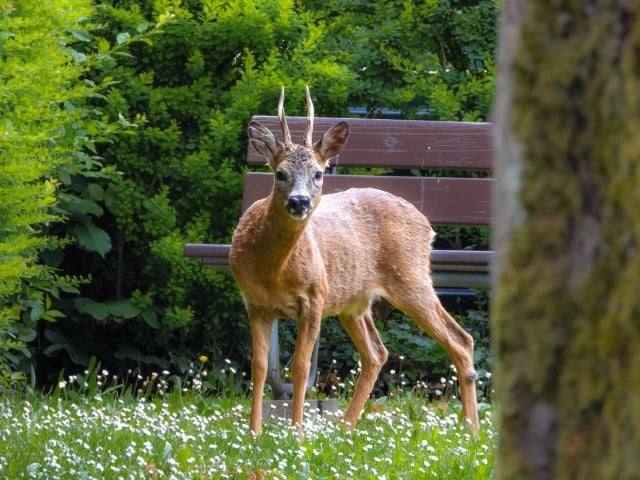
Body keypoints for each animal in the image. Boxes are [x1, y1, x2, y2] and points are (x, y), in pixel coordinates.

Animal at [228, 85, 478, 436]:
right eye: (280, 173)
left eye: (318, 173)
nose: (299, 201)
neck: (273, 272)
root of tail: (426, 224)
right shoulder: (254, 303)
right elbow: (259, 367)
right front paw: (254, 433)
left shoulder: (315, 297)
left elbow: (300, 367)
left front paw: (297, 432)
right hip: (354, 302)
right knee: (376, 353)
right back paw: (345, 427)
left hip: (410, 278)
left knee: (461, 340)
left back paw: (472, 430)